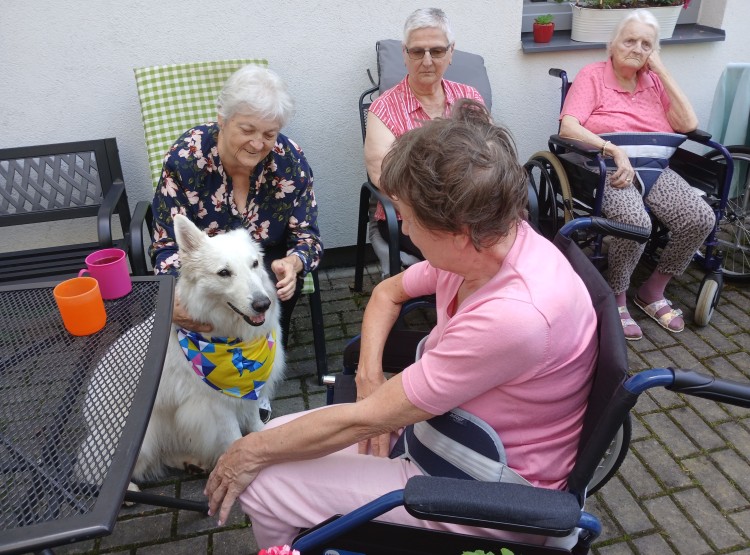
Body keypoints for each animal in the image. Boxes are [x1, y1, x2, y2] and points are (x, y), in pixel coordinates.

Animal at [77, 215, 284, 484]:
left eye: (255, 264)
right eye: (224, 273)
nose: (263, 304)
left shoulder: (249, 392)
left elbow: (254, 421)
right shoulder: (218, 409)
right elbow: (234, 439)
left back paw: (190, 463)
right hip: (143, 436)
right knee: (101, 471)